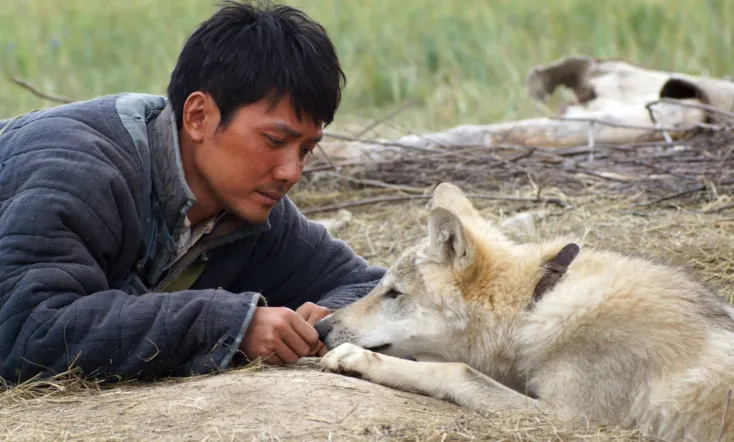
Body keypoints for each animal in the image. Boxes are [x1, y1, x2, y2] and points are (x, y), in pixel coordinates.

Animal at [315, 182, 734, 441]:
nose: (319, 328)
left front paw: (356, 359)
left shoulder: (569, 421)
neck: (536, 301)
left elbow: (456, 371)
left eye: (394, 293)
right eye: (381, 288)